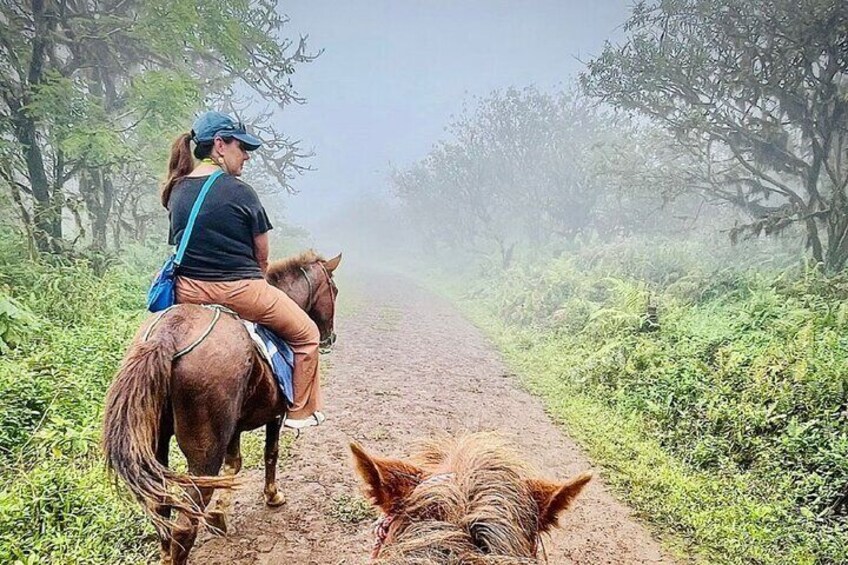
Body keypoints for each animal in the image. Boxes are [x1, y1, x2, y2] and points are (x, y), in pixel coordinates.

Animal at [100, 250, 338, 564]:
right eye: (334, 290)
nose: (330, 337)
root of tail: (169, 336)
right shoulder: (275, 414)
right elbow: (270, 454)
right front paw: (272, 496)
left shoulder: (232, 427)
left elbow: (234, 463)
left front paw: (218, 516)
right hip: (203, 457)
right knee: (184, 527)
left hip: (156, 445)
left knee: (161, 508)